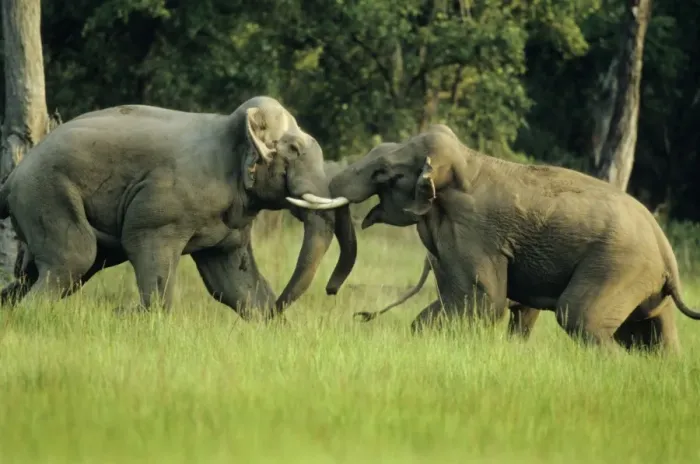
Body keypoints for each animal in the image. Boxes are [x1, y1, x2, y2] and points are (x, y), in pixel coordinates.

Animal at [0, 96, 356, 320]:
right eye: (294, 149)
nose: (280, 305)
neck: (232, 129)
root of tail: (13, 177)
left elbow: (233, 282)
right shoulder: (164, 207)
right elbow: (146, 243)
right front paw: (141, 317)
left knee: (48, 272)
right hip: (47, 193)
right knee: (75, 259)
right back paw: (28, 315)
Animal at [293, 125, 700, 353]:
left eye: (383, 174)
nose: (334, 293)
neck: (464, 162)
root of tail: (666, 252)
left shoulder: (473, 231)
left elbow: (483, 302)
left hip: (617, 265)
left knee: (580, 318)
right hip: (641, 280)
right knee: (651, 334)